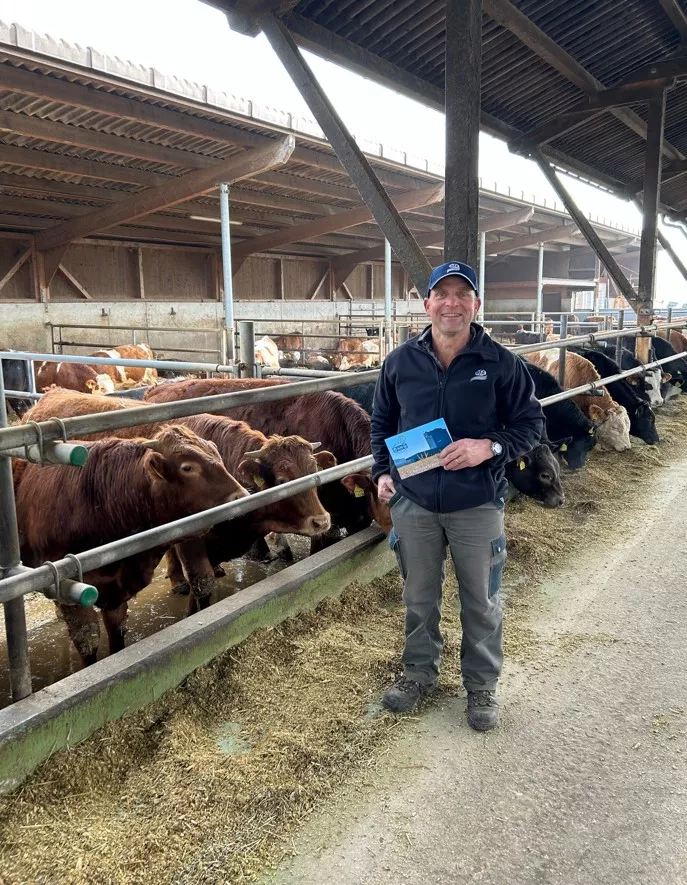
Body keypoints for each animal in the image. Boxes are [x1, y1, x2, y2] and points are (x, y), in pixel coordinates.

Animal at [13, 424, 246, 665]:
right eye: (188, 467)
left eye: (217, 454)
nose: (243, 495)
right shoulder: (67, 586)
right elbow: (87, 639)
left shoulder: (116, 590)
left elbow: (116, 631)